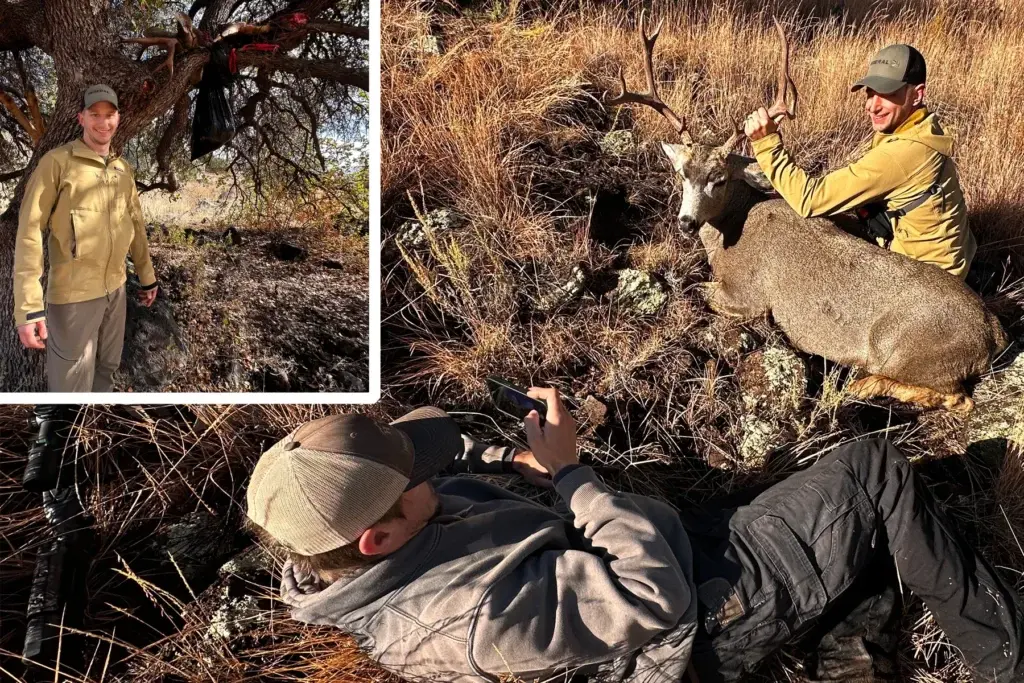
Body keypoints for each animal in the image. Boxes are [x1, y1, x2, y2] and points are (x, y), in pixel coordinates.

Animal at [606, 14, 1007, 411]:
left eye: (718, 180)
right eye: (682, 173)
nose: (687, 223)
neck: (729, 232)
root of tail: (993, 332)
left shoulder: (748, 296)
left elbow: (691, 288)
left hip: (902, 350)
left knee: (957, 398)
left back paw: (862, 385)